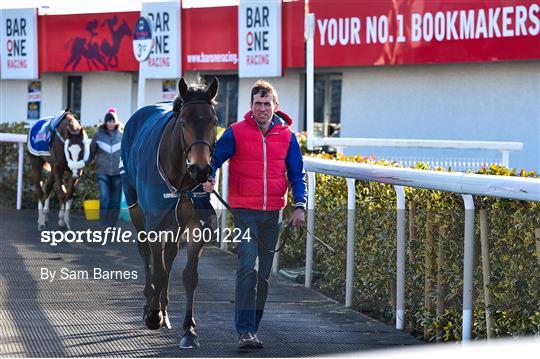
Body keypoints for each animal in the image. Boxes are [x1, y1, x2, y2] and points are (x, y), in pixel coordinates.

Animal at [122, 76, 219, 348]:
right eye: (184, 122)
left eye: (214, 121)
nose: (201, 169)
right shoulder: (155, 222)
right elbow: (158, 268)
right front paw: (153, 315)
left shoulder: (196, 224)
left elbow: (188, 275)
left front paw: (189, 329)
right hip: (136, 209)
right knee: (147, 253)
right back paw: (150, 303)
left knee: (170, 254)